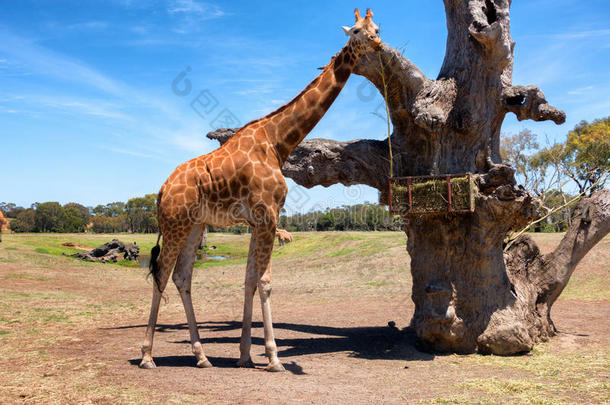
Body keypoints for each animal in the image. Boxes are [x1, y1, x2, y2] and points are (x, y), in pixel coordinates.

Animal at [141, 7, 380, 370]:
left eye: (377, 28)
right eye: (355, 30)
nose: (377, 45)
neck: (278, 141)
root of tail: (160, 191)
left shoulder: (257, 220)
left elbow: (249, 281)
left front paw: (244, 355)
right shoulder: (268, 214)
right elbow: (265, 283)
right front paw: (273, 356)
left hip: (196, 225)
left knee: (182, 277)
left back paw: (201, 356)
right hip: (175, 224)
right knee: (162, 275)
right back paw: (147, 356)